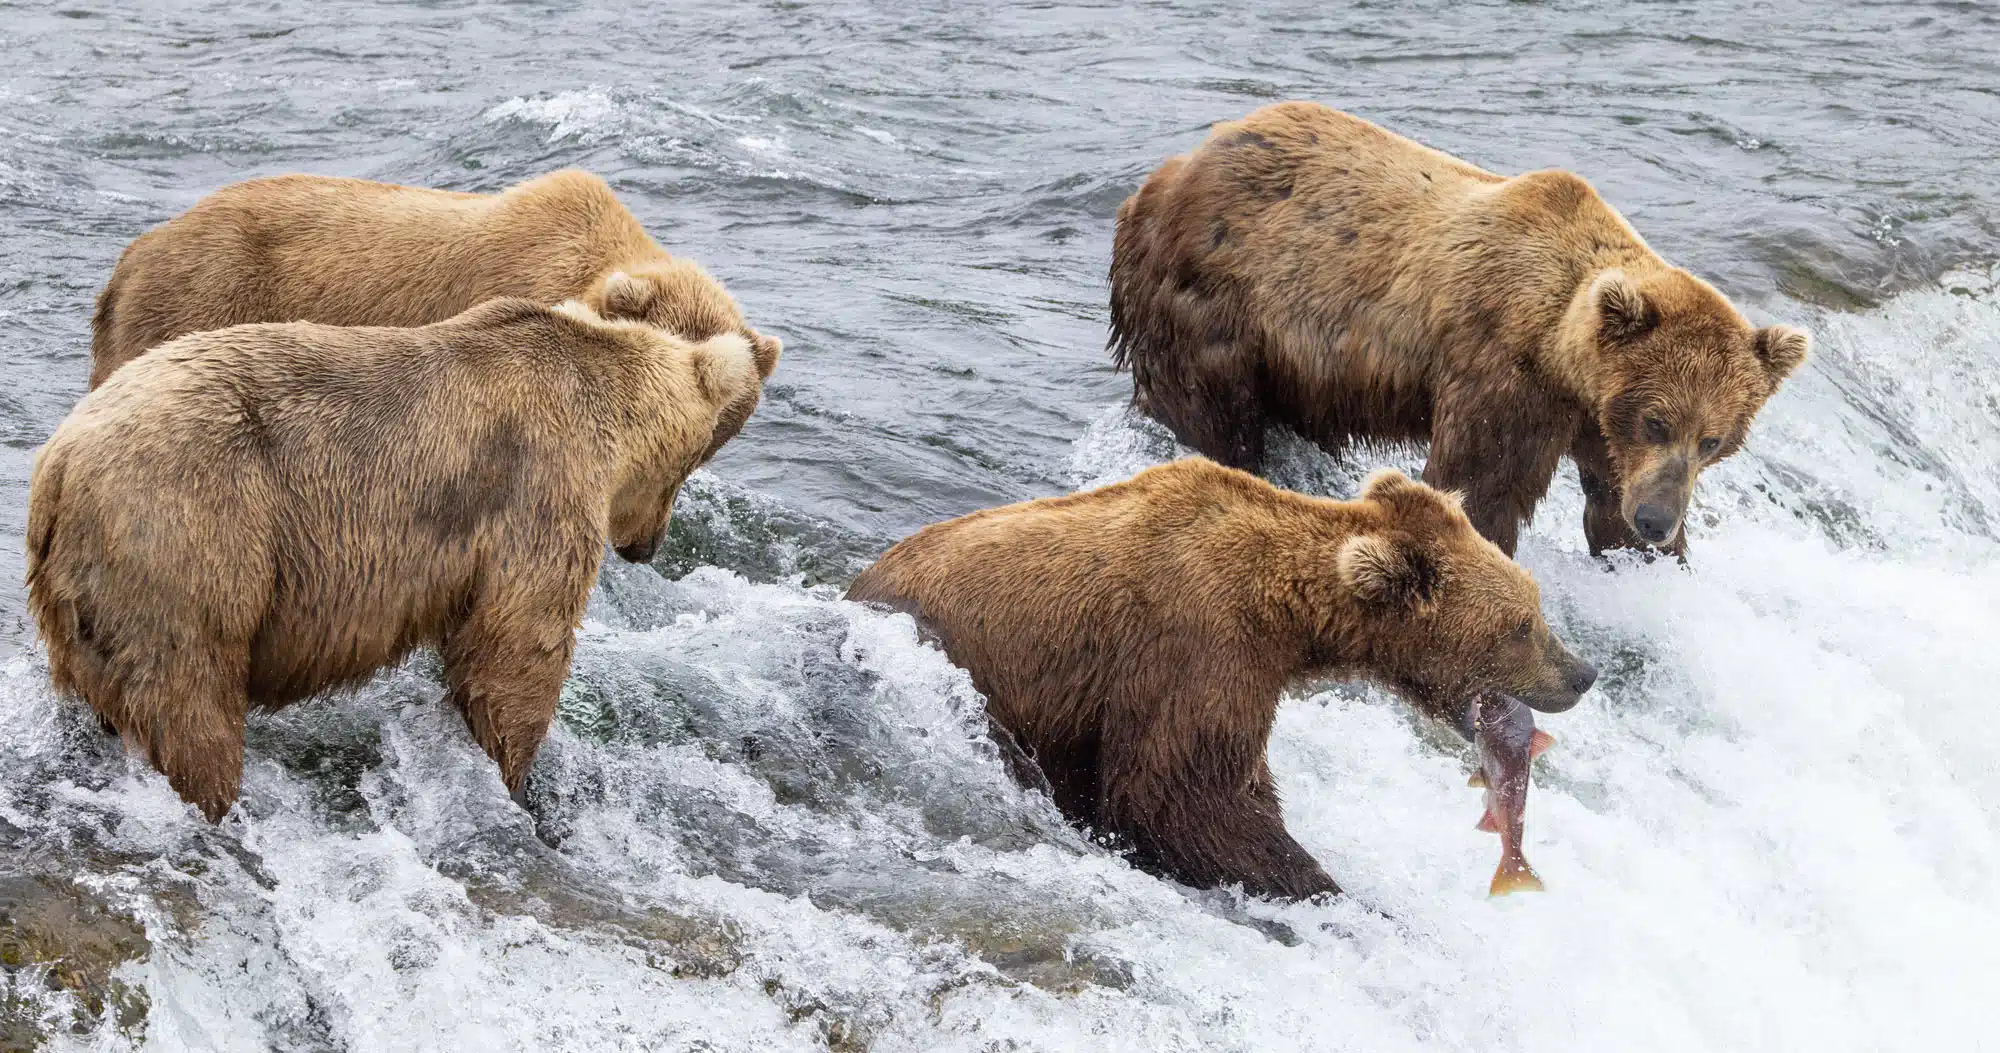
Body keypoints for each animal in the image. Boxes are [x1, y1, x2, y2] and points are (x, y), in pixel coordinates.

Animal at [27, 296, 768, 824]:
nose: (648, 546)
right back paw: (217, 799)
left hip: (84, 602)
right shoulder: (538, 485)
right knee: (191, 702)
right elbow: (516, 647)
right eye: (693, 462)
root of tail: (57, 464)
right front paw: (517, 777)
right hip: (190, 536)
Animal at [844, 458, 1592, 904]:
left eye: (1533, 605)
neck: (1289, 615)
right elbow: (1183, 798)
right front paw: (1326, 885)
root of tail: (857, 584)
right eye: (1522, 624)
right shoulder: (1196, 652)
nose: (1581, 673)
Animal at [1112, 102, 1816, 556]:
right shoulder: (1504, 376)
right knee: (1212, 413)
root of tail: (1165, 174)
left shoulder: (1595, 423)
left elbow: (1605, 497)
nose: (1656, 522)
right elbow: (1481, 487)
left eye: (1713, 439)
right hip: (1215, 302)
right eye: (1658, 420)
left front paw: (1642, 548)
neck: (1564, 356)